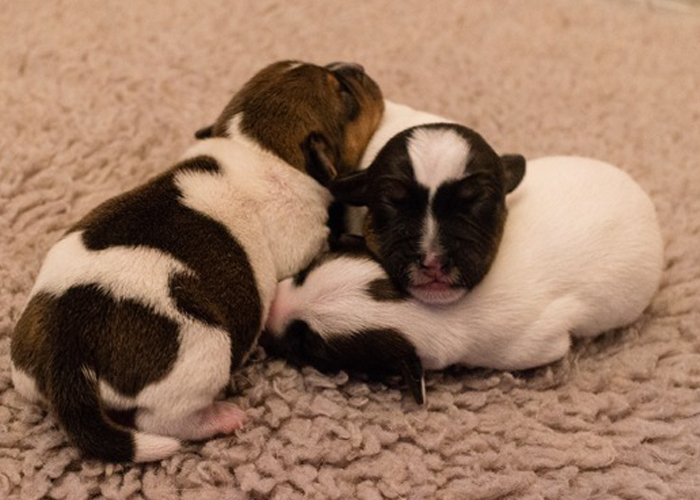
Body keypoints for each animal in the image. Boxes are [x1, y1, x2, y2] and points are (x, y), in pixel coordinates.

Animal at [10, 60, 384, 462]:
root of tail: (68, 355)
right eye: (344, 93)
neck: (257, 144)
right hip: (206, 349)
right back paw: (221, 418)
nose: (356, 66)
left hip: (24, 369)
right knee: (163, 420)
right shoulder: (304, 241)